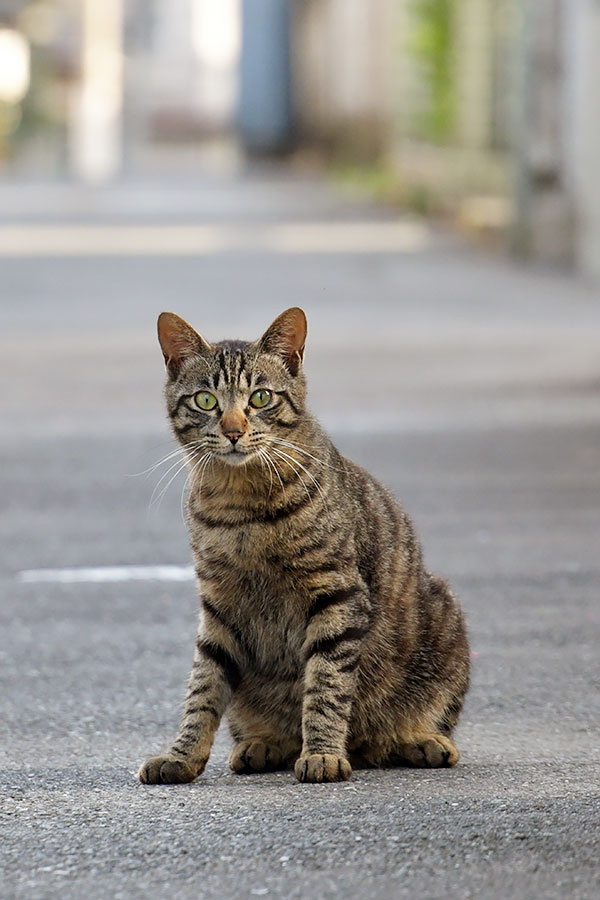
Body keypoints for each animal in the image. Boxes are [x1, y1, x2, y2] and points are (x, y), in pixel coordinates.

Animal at [137, 306, 468, 784]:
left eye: (260, 398)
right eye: (205, 401)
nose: (233, 430)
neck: (241, 503)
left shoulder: (338, 595)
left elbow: (326, 685)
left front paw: (324, 752)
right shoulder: (218, 606)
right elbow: (203, 688)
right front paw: (181, 754)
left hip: (445, 618)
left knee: (401, 729)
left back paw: (419, 740)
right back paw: (263, 744)